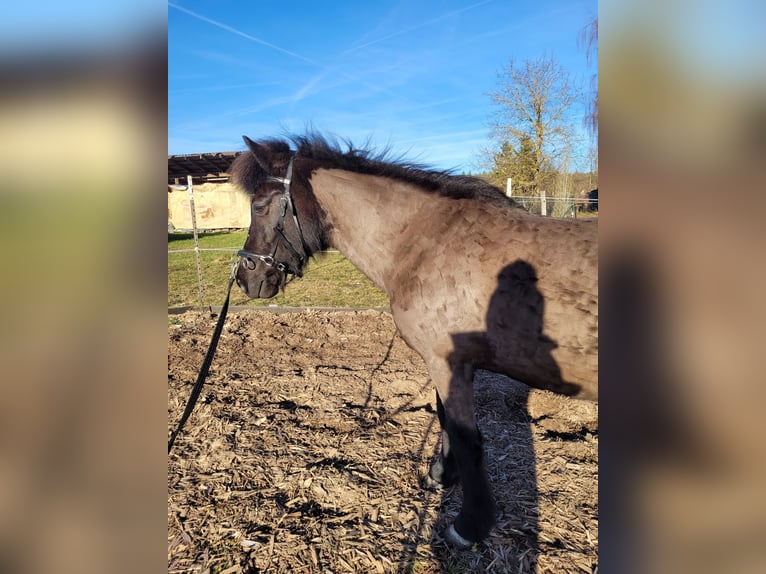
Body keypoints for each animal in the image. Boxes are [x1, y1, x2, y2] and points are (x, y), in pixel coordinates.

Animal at [230, 133, 598, 548]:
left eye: (260, 206)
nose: (246, 278)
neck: (428, 242)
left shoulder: (446, 361)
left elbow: (466, 437)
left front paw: (469, 525)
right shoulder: (448, 363)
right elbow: (443, 418)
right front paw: (442, 474)